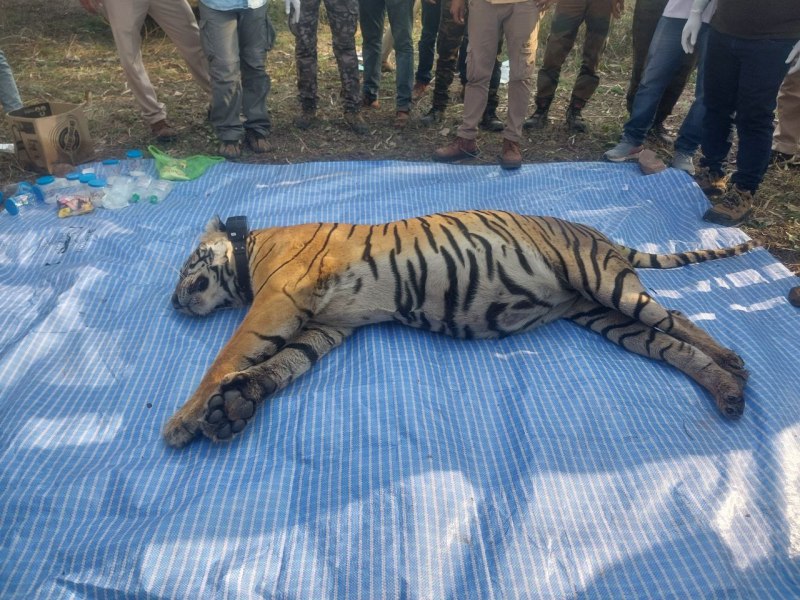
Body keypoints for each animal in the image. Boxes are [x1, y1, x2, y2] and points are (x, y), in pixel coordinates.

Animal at [163, 210, 756, 448]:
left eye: (188, 261)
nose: (171, 302)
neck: (250, 251)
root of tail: (600, 233)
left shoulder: (277, 301)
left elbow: (228, 355)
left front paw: (183, 421)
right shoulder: (329, 326)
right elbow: (283, 366)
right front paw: (233, 406)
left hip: (606, 284)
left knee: (678, 318)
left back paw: (734, 365)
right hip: (601, 316)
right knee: (667, 344)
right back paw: (727, 392)